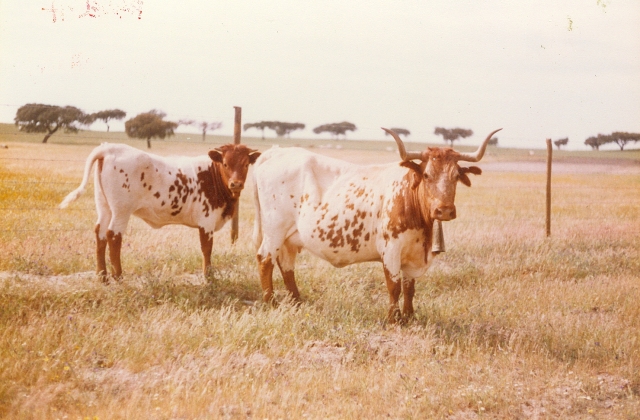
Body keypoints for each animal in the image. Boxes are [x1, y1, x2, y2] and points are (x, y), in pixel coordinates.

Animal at [59, 142, 260, 282]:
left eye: (245, 164)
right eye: (225, 164)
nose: (236, 184)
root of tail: (109, 148)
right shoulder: (207, 221)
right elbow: (207, 249)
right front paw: (208, 277)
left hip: (103, 205)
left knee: (100, 233)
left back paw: (102, 276)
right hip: (121, 209)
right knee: (113, 235)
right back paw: (118, 277)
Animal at [252, 128, 502, 322]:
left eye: (456, 176)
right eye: (427, 175)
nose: (445, 210)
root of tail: (276, 152)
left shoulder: (412, 254)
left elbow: (410, 287)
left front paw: (409, 317)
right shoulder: (391, 250)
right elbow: (394, 285)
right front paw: (393, 319)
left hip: (289, 237)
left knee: (286, 266)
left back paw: (297, 302)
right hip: (274, 230)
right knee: (265, 259)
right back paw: (270, 302)